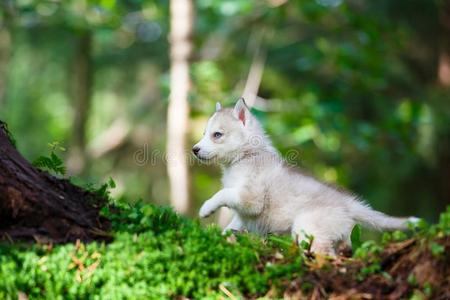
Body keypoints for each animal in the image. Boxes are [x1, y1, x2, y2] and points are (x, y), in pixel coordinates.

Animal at [192, 99, 414, 254]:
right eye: (203, 133)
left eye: (217, 135)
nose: (194, 149)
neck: (245, 157)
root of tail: (348, 203)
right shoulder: (245, 215)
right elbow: (232, 225)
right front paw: (223, 237)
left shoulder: (250, 199)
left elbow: (223, 194)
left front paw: (206, 209)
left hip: (306, 228)